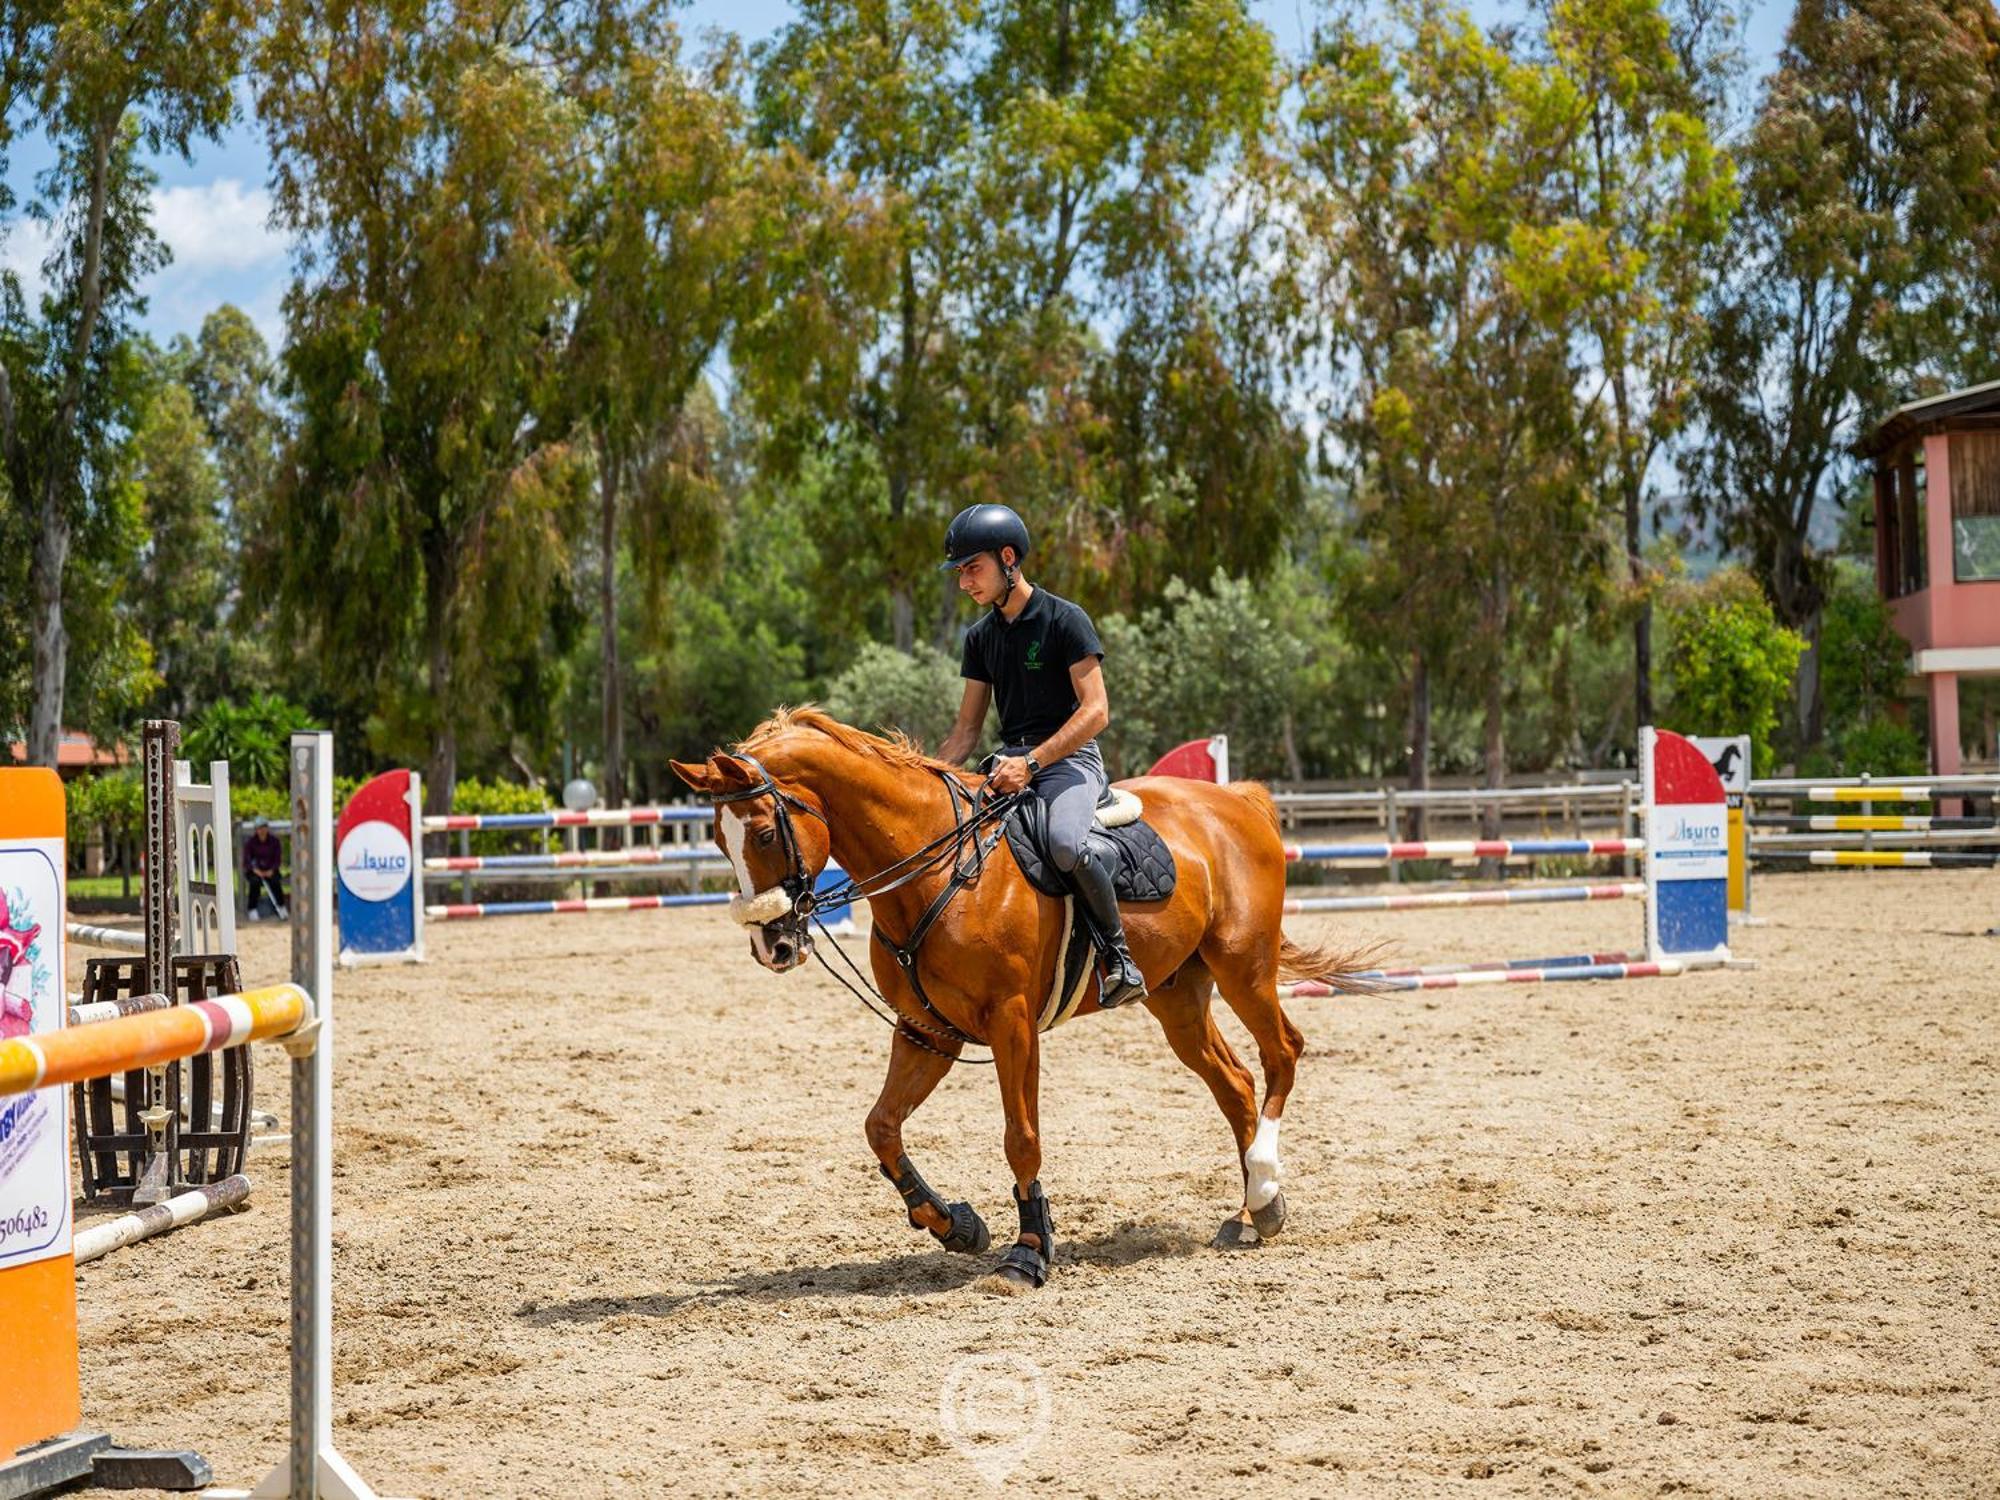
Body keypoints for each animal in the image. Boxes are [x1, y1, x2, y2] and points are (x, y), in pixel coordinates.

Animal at [676, 712, 1376, 1296]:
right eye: (717, 840)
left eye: (764, 832)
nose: (771, 945)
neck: (938, 872)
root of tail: (1239, 800)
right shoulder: (927, 1030)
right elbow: (881, 1127)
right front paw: (955, 1225)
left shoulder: (1012, 1025)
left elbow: (1021, 1139)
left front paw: (1029, 1251)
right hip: (1178, 997)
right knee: (1234, 1084)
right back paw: (1254, 1210)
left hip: (1243, 969)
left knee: (1282, 1053)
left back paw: (1265, 1178)